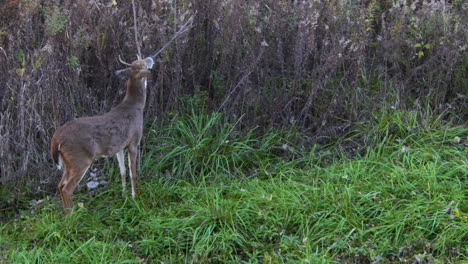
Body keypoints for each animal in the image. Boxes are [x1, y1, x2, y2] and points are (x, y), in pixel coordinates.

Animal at [50, 55, 154, 214]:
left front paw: (124, 195)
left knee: (60, 185)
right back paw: (73, 216)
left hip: (68, 162)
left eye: (140, 60)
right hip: (80, 158)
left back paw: (67, 213)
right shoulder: (134, 141)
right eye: (143, 63)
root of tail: (57, 138)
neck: (135, 106)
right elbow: (133, 172)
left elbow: (123, 171)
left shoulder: (119, 147)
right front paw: (135, 197)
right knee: (67, 188)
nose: (151, 58)